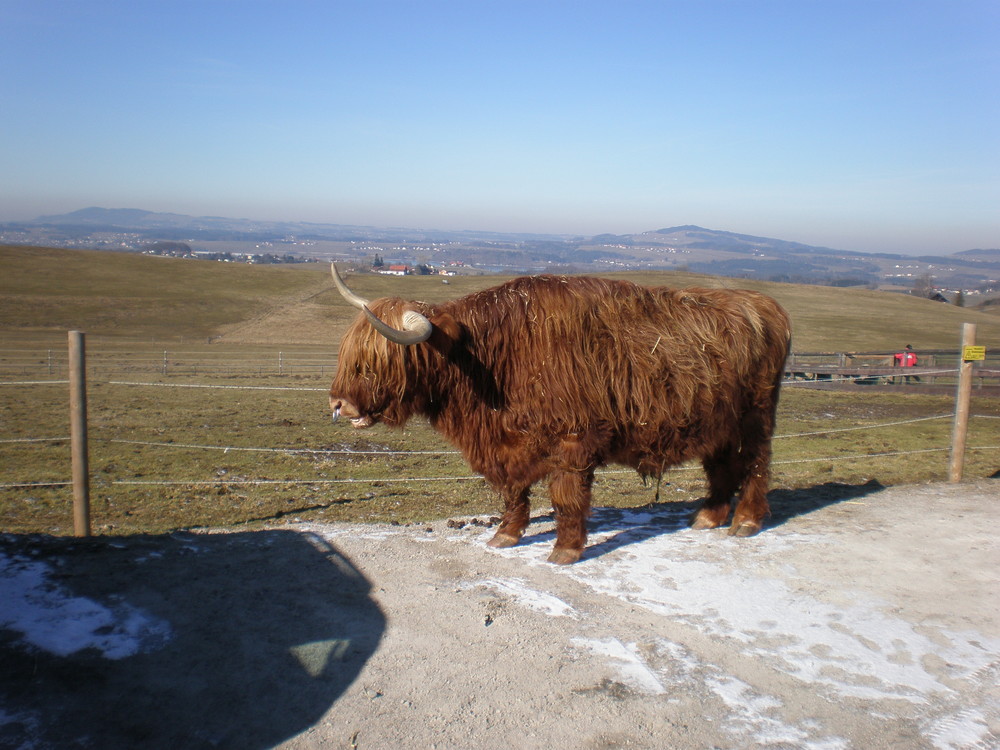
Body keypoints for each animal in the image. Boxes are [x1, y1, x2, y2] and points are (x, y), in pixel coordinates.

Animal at [332, 264, 792, 564]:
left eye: (376, 360)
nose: (339, 403)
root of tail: (766, 305)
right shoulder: (508, 447)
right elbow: (513, 493)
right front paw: (504, 536)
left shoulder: (574, 442)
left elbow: (566, 498)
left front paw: (565, 550)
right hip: (715, 423)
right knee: (721, 468)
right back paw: (707, 517)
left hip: (755, 419)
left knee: (755, 465)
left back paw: (745, 521)